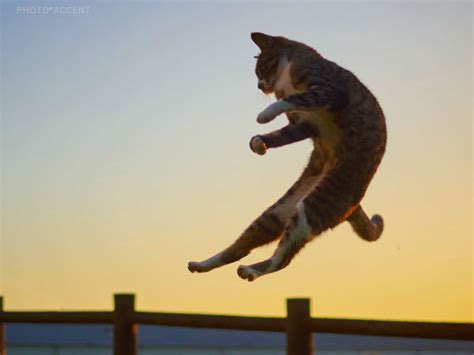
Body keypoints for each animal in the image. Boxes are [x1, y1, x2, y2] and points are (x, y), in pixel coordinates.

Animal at [187, 34, 386, 284]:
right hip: (279, 210)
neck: (286, 79)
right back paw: (204, 264)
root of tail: (356, 205)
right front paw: (258, 143)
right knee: (241, 248)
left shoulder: (328, 89)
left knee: (283, 259)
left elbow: (295, 98)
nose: (259, 86)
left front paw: (265, 115)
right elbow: (282, 133)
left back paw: (250, 271)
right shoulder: (304, 124)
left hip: (314, 205)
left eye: (260, 69)